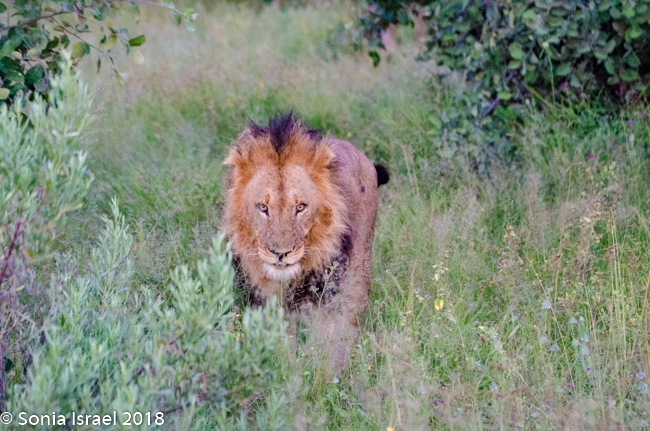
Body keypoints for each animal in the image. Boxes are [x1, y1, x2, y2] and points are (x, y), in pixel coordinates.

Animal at [221, 112, 389, 371]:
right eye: (262, 207)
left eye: (300, 207)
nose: (281, 253)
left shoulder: (327, 296)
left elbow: (326, 343)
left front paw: (323, 371)